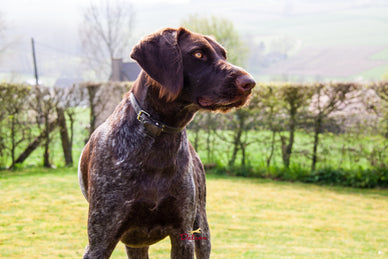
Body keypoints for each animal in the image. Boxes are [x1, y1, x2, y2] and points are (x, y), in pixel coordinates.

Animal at [78, 27, 255, 258]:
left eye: (223, 55)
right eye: (198, 54)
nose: (250, 83)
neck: (160, 138)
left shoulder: (183, 235)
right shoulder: (100, 241)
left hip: (201, 229)